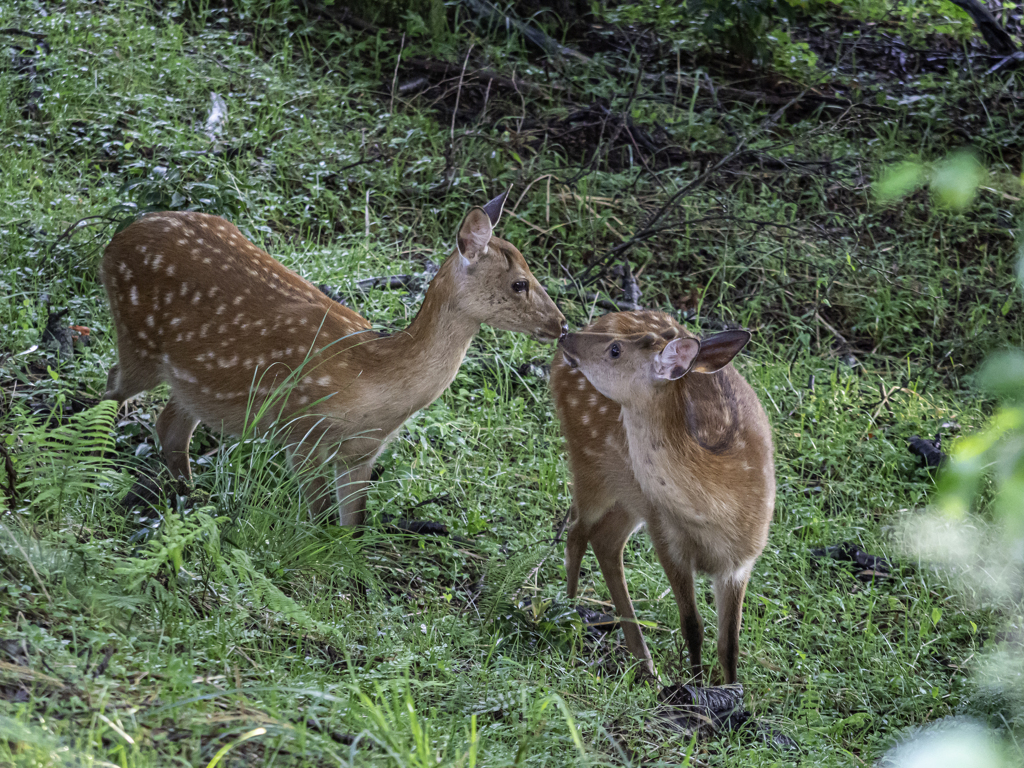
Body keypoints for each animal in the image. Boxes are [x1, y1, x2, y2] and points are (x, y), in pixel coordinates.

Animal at [101, 192, 569, 528]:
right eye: (520, 283)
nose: (561, 325)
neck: (372, 377)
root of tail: (115, 241)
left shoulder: (363, 452)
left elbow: (352, 526)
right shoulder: (300, 431)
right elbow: (321, 519)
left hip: (190, 378)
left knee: (170, 424)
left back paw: (192, 498)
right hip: (137, 339)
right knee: (111, 386)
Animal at [552, 313, 774, 684]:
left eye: (615, 349)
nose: (566, 336)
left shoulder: (742, 562)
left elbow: (729, 644)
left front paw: (732, 691)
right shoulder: (668, 540)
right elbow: (693, 627)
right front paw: (696, 689)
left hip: (631, 497)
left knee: (604, 541)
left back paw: (644, 663)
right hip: (590, 465)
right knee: (577, 530)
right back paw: (567, 613)